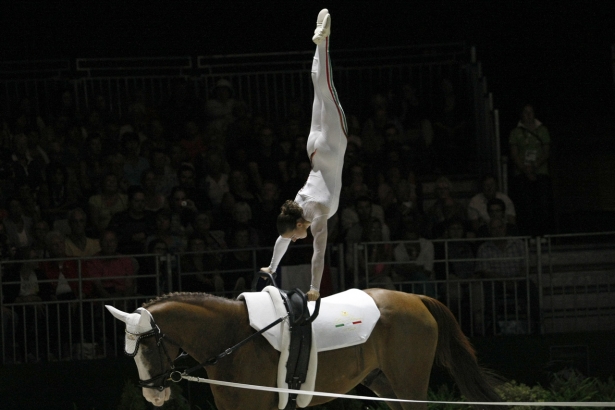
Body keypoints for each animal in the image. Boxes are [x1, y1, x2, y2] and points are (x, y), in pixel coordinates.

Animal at [107, 288, 500, 410]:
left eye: (147, 347)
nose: (154, 395)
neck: (232, 337)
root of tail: (416, 298)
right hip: (383, 383)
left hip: (408, 383)